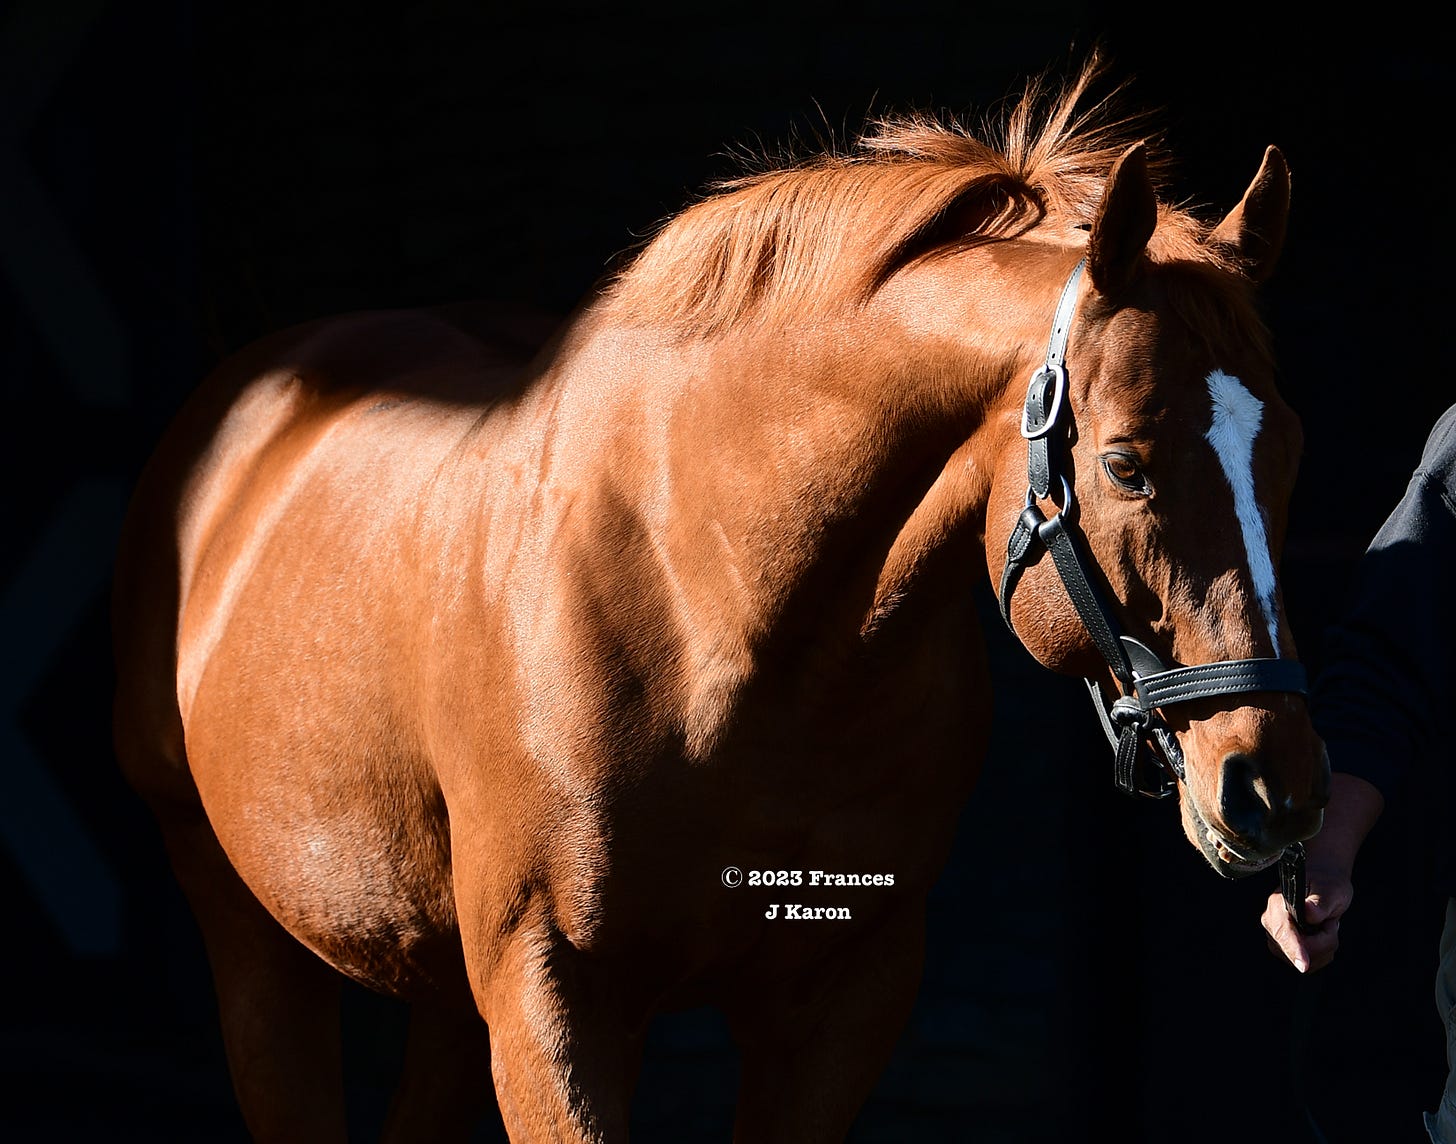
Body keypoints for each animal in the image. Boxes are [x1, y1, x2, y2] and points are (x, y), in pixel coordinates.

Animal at [110, 69, 1333, 1141]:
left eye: (1288, 453)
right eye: (1126, 466)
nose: (1273, 785)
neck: (720, 617)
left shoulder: (840, 997)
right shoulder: (552, 999)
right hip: (258, 940)